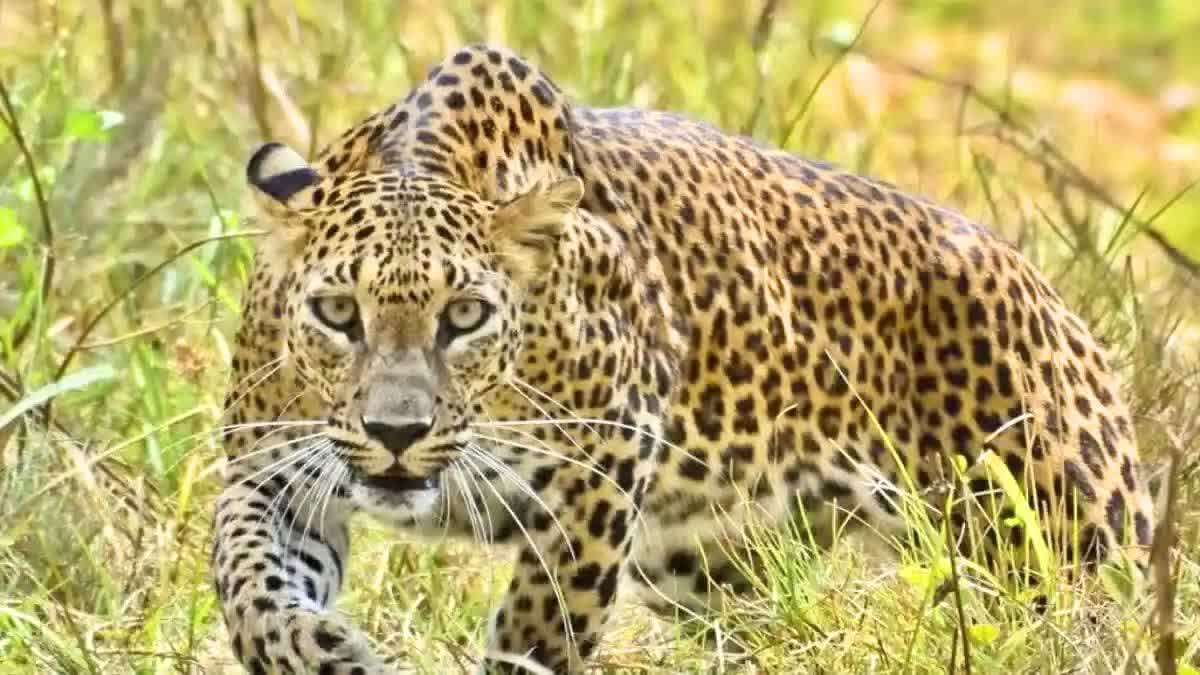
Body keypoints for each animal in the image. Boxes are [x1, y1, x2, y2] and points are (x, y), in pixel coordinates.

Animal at [210, 43, 1156, 674]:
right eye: (338, 313)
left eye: (465, 315)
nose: (396, 433)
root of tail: (1052, 296)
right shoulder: (274, 470)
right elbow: (247, 577)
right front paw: (318, 650)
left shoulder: (597, 476)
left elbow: (539, 630)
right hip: (711, 566)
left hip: (1060, 551)